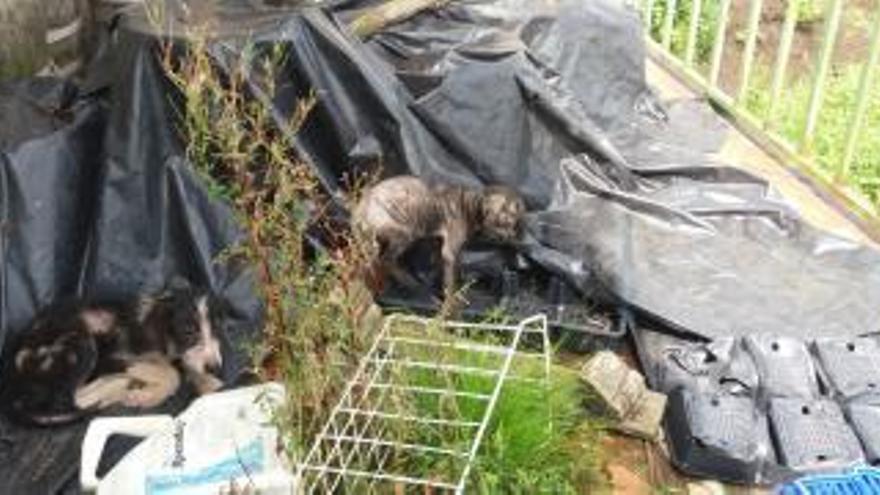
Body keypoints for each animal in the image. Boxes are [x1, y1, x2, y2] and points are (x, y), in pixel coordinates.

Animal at [352, 175, 524, 298]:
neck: (469, 205)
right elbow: (450, 280)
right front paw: (451, 302)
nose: (509, 236)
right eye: (499, 222)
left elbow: (447, 269)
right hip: (403, 232)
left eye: (512, 223)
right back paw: (409, 282)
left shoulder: (439, 244)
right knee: (385, 260)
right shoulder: (449, 251)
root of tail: (359, 211)